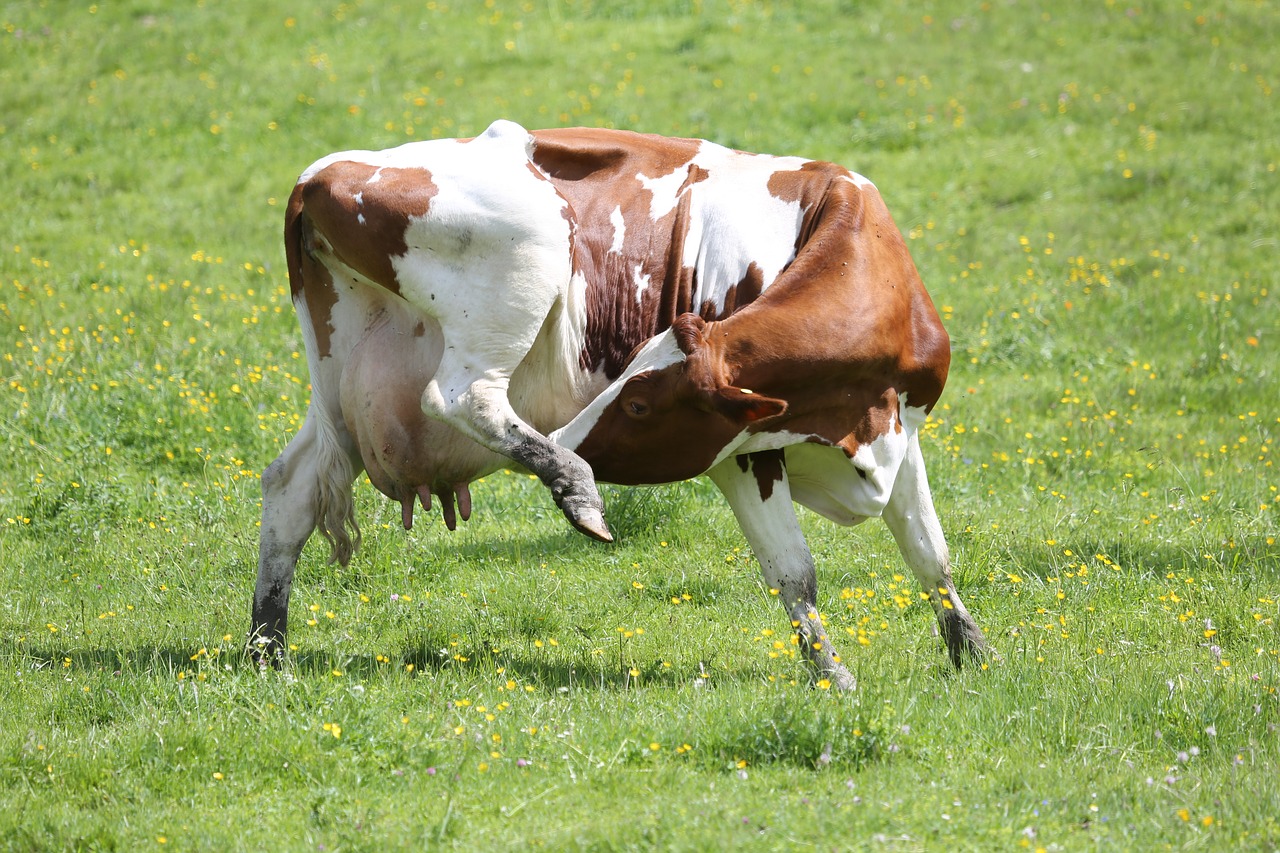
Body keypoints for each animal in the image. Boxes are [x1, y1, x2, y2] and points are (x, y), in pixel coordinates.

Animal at [252, 117, 988, 686]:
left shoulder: (902, 433)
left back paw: (266, 651)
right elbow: (795, 574)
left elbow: (931, 553)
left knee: (291, 485)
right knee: (463, 395)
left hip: (345, 388)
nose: (572, 438)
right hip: (521, 268)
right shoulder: (741, 454)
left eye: (637, 404)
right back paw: (571, 481)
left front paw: (975, 654)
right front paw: (833, 675)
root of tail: (322, 173)